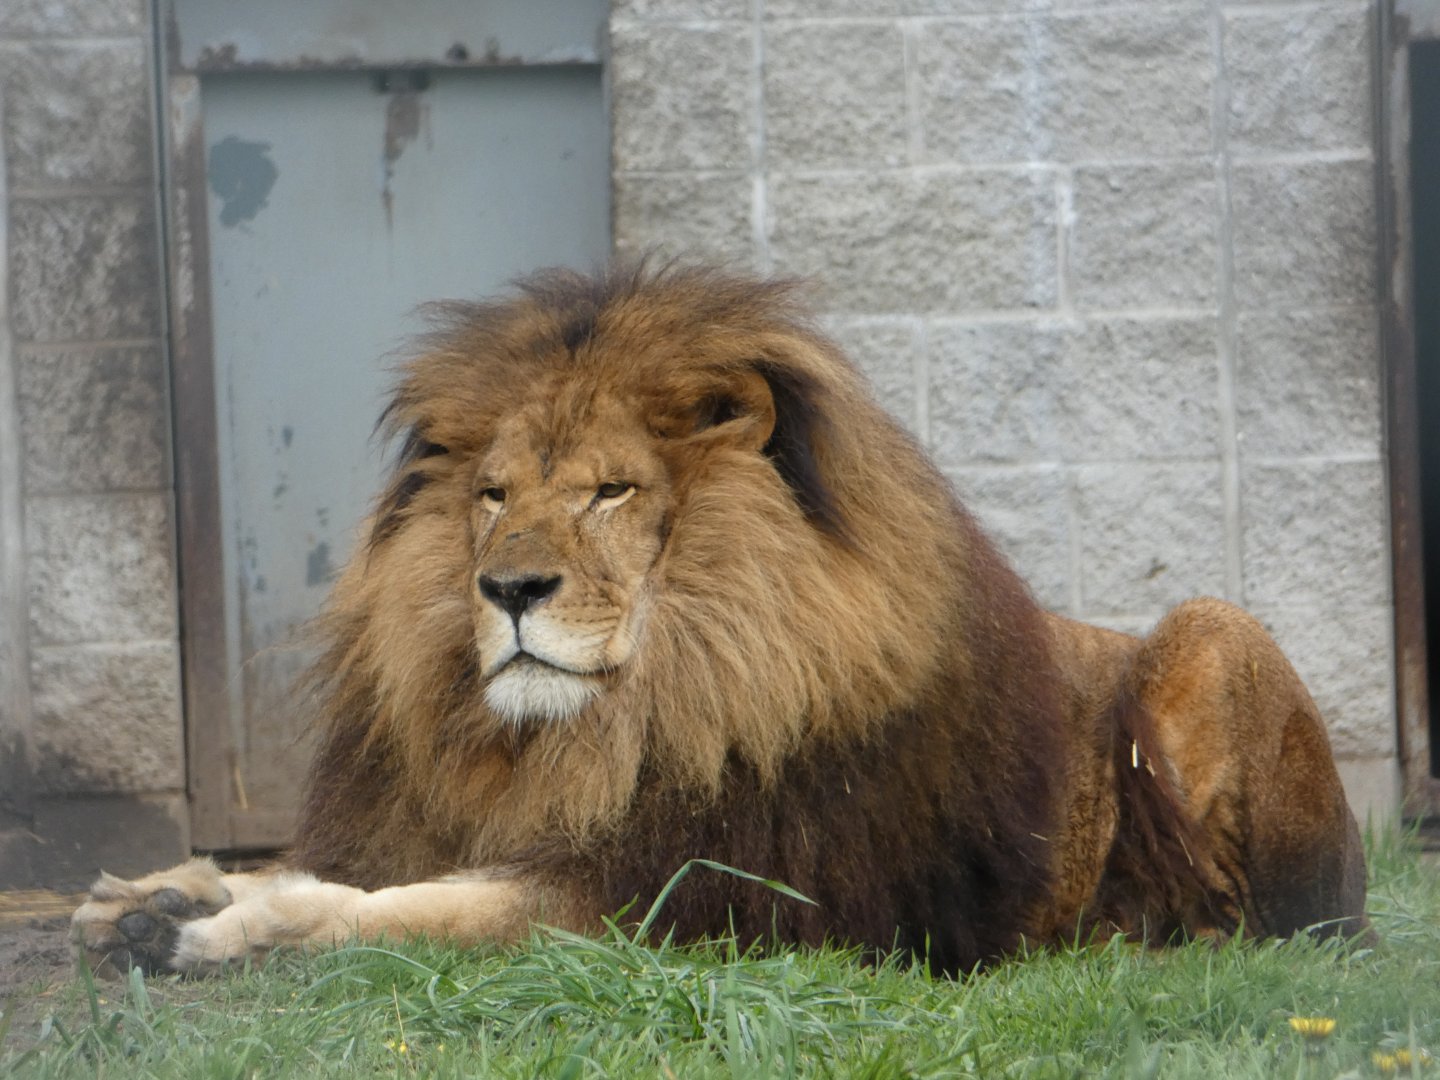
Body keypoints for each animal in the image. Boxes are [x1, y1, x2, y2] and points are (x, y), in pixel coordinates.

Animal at [72, 264, 1369, 977]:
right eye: (493, 496)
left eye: (609, 491)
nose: (509, 590)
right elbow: (346, 869)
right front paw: (155, 893)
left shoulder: (679, 901)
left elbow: (403, 910)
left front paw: (216, 930)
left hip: (1210, 632)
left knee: (1276, 925)